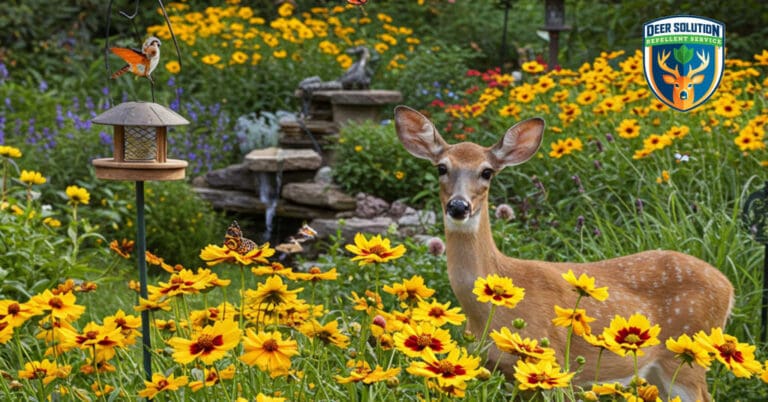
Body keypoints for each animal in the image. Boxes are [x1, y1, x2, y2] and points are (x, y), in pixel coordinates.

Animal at [393, 105, 734, 401]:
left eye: (487, 172)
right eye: (442, 167)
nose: (459, 206)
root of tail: (728, 287)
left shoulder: (555, 362)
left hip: (687, 355)